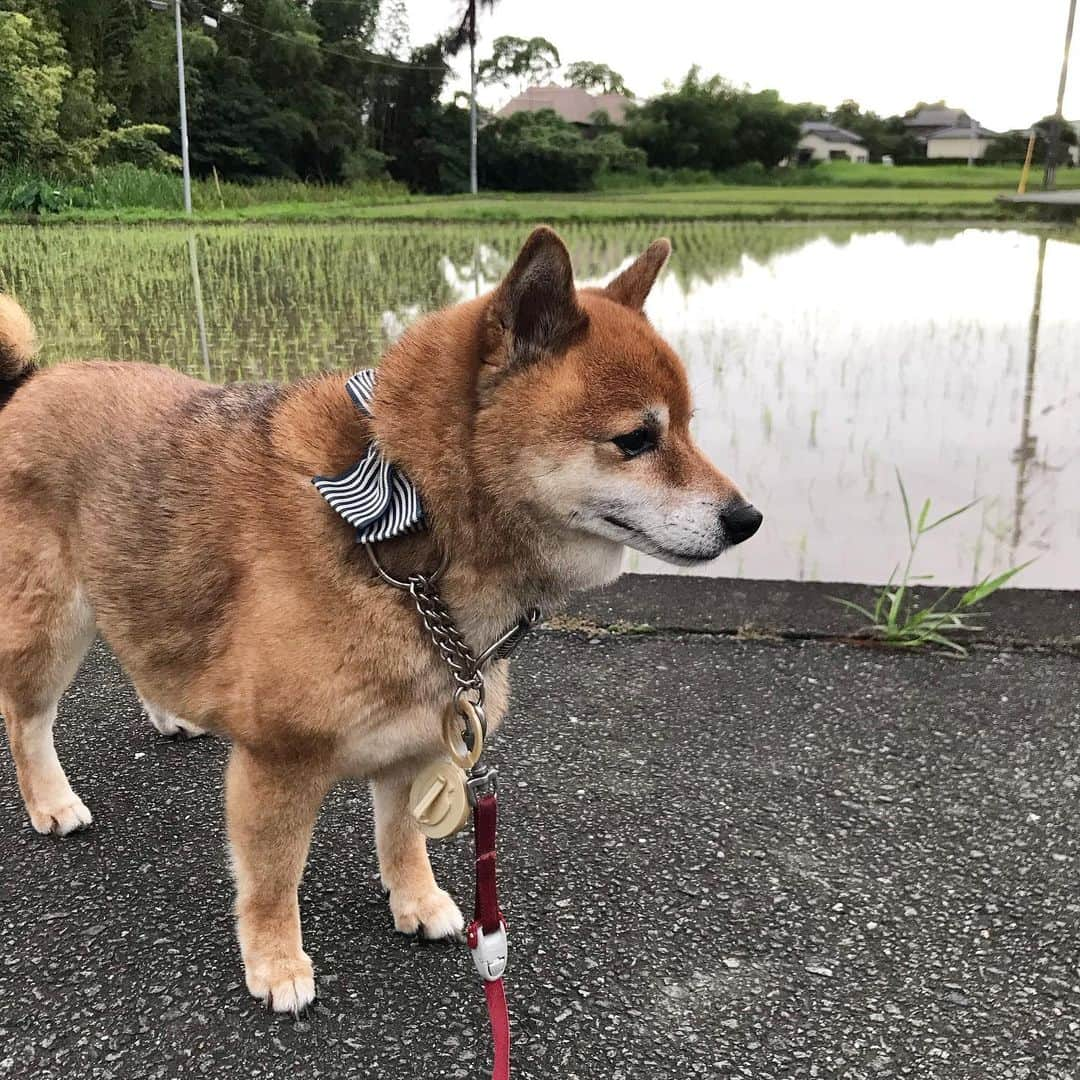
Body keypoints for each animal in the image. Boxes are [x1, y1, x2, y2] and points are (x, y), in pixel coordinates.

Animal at [0, 227, 760, 1010]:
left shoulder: (418, 743)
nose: (748, 520)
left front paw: (417, 902)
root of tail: (30, 381)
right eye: (636, 439)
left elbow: (403, 839)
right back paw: (51, 802)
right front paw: (276, 961)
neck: (409, 534)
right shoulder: (277, 764)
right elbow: (273, 879)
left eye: (689, 428)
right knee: (25, 721)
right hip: (50, 628)